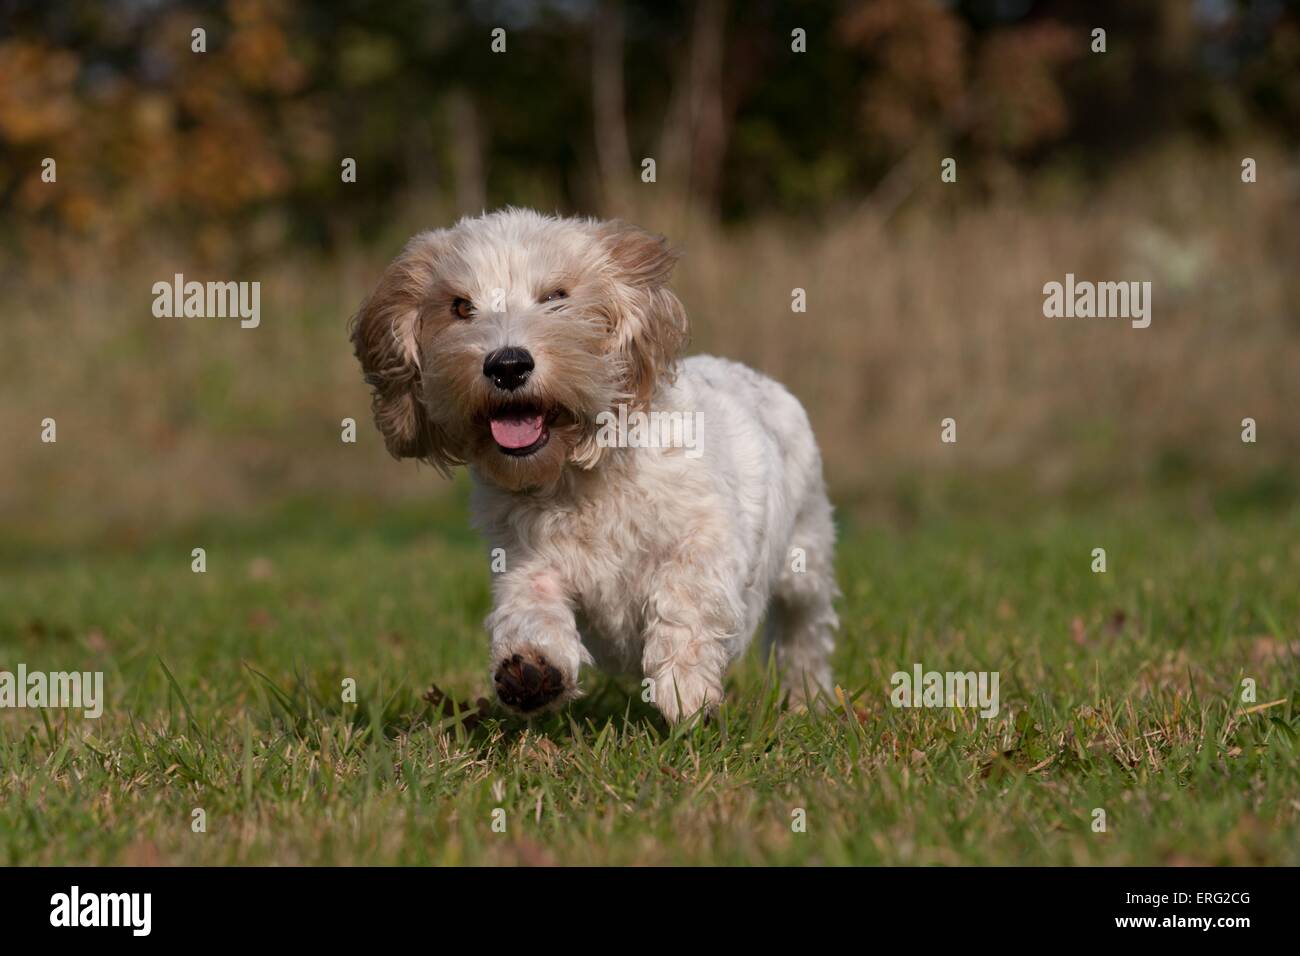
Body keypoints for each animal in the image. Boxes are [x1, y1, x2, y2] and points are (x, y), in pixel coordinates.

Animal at [353, 208, 842, 717]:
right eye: (460, 307)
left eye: (556, 297)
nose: (507, 365)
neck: (576, 473)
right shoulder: (525, 559)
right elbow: (529, 607)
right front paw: (531, 670)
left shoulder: (707, 536)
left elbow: (685, 595)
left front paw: (684, 687)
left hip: (807, 559)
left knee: (805, 633)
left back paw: (808, 701)